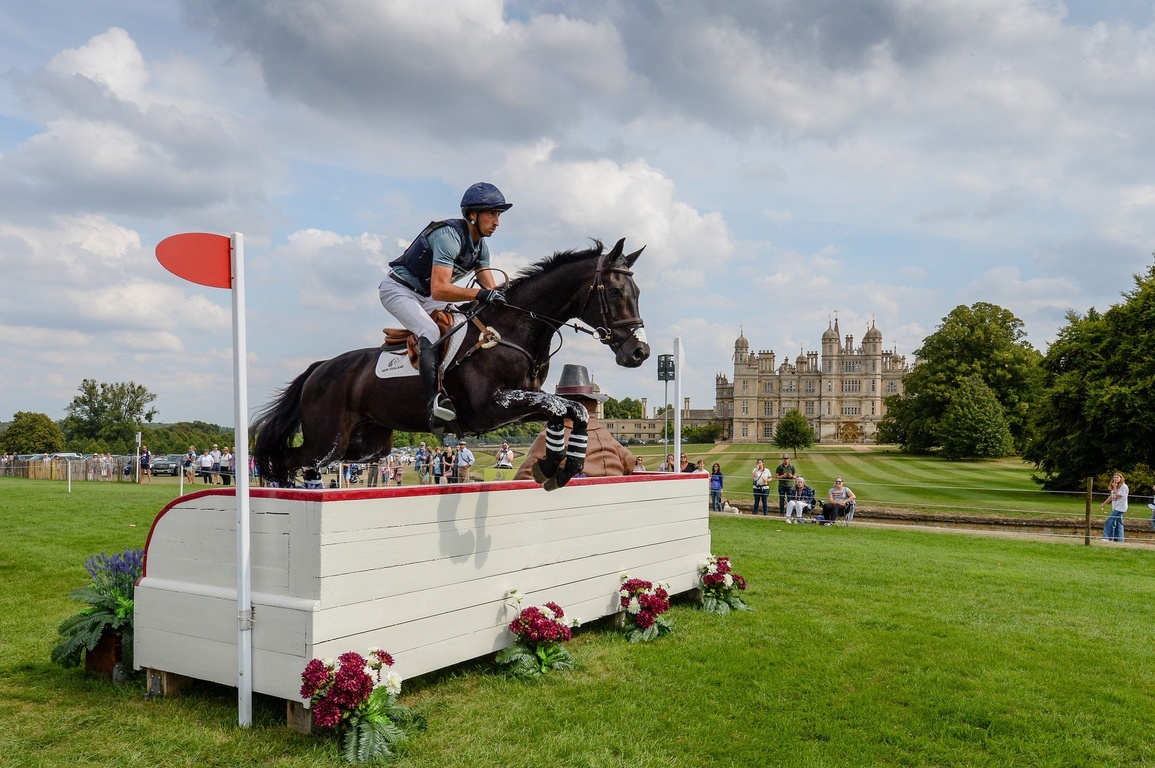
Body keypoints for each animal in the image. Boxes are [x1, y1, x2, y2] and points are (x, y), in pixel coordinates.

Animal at [254, 240, 651, 487]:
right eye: (616, 292)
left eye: (638, 292)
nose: (639, 352)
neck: (514, 327)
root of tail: (319, 368)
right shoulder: (492, 407)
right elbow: (562, 407)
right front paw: (556, 466)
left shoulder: (520, 405)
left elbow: (569, 411)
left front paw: (556, 467)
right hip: (328, 441)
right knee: (288, 458)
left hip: (368, 444)